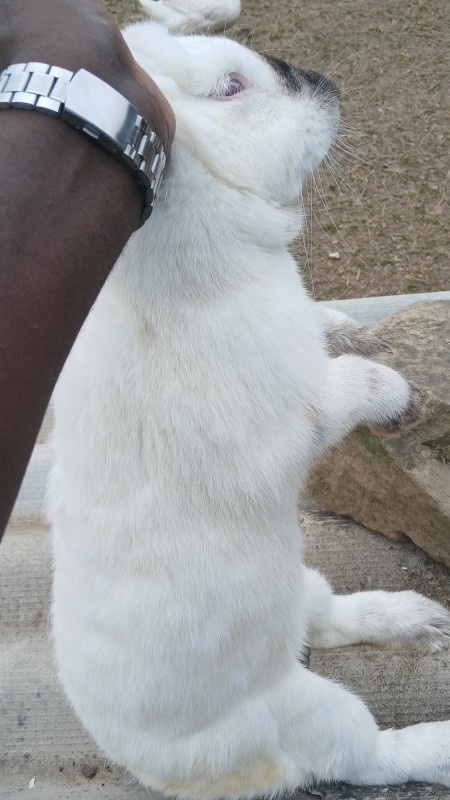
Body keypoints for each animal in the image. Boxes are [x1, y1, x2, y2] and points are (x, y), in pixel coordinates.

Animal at [48, 19, 450, 798]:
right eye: (231, 87)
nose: (325, 85)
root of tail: (152, 766)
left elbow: (333, 331)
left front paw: (360, 335)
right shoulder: (299, 412)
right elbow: (356, 385)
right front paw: (403, 402)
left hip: (300, 587)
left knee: (328, 618)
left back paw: (416, 617)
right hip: (302, 713)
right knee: (361, 753)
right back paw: (437, 739)